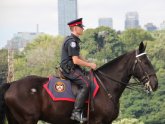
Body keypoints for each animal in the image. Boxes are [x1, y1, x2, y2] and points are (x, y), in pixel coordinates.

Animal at [0, 42, 159, 123]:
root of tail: (11, 84)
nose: (155, 83)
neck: (106, 86)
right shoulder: (98, 122)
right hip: (27, 120)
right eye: (145, 62)